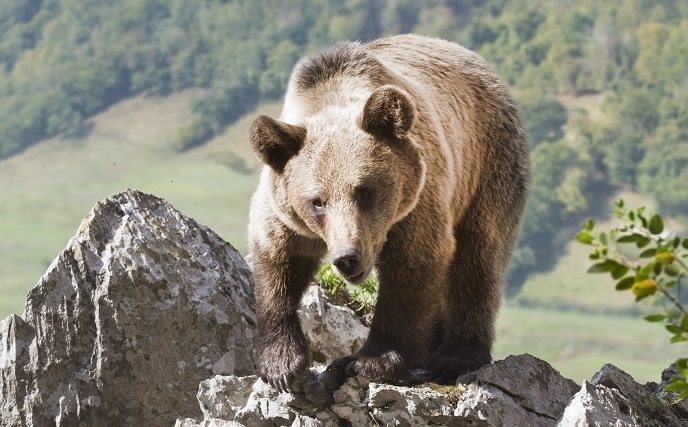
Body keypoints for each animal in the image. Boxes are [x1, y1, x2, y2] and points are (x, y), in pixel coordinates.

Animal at [247, 34, 529, 391]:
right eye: (317, 201)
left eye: (364, 191)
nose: (347, 257)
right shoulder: (283, 210)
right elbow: (277, 260)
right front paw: (281, 364)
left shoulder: (416, 203)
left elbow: (413, 267)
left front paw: (373, 361)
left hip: (486, 166)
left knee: (477, 257)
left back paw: (455, 355)